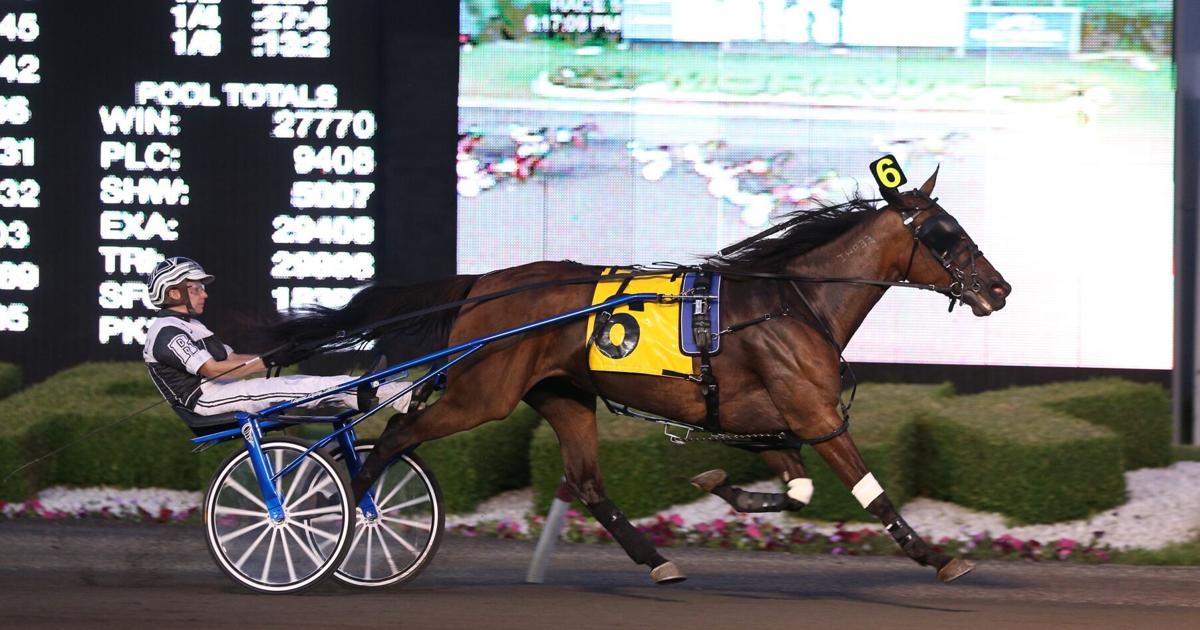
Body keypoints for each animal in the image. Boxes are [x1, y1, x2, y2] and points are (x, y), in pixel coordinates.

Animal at [268, 168, 1010, 584]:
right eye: (943, 232)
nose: (1000, 289)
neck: (795, 300)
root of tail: (481, 284)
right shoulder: (815, 415)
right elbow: (873, 495)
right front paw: (938, 558)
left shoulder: (766, 421)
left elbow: (794, 491)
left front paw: (718, 486)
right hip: (483, 394)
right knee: (396, 437)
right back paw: (345, 516)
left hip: (564, 395)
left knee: (588, 482)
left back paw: (657, 560)